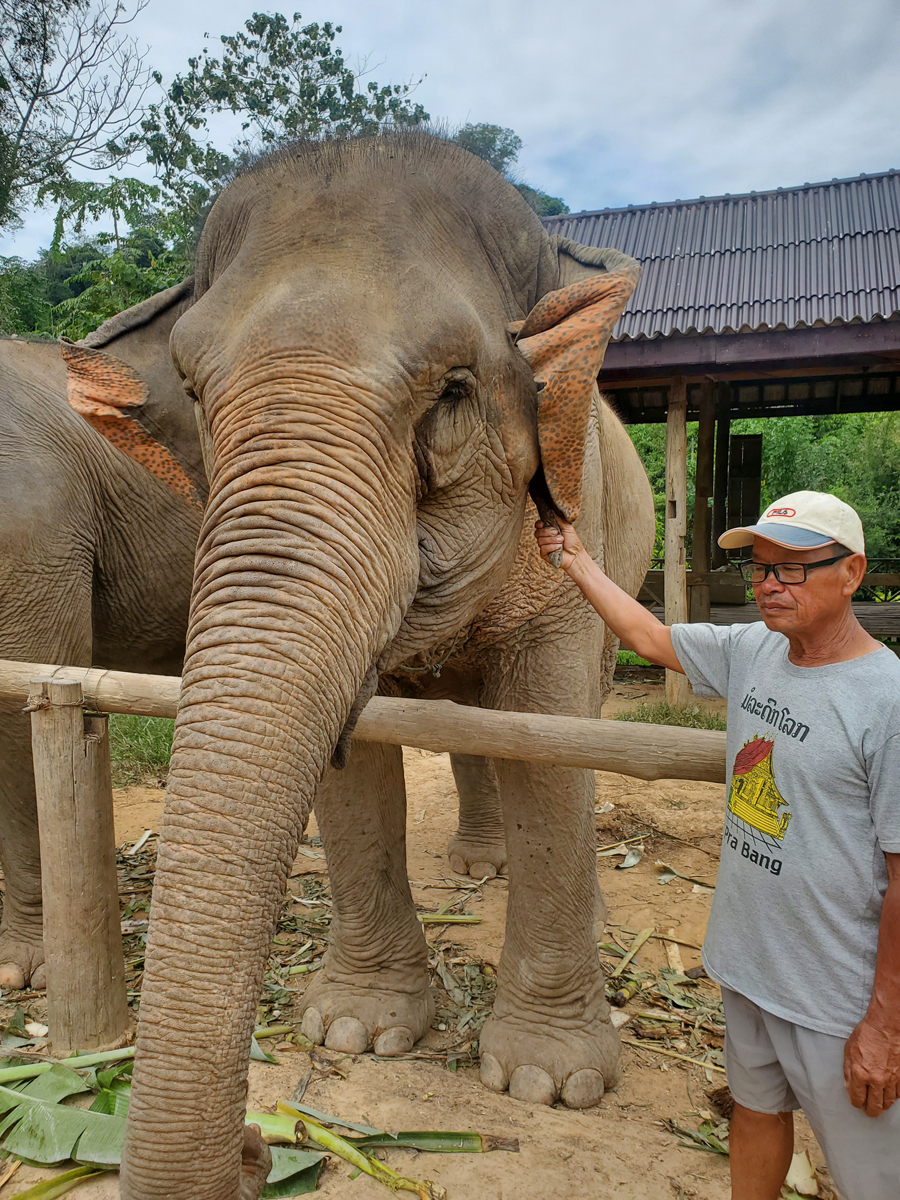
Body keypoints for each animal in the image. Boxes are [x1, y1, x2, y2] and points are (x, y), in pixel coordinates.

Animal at [52, 132, 654, 1200]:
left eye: (454, 389)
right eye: (194, 393)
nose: (258, 1147)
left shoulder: (568, 562)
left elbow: (549, 742)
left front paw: (547, 1083)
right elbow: (355, 767)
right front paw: (356, 1033)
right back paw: (479, 865)